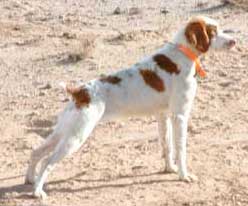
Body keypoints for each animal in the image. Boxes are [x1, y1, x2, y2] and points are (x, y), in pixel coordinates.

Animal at [25, 16, 236, 198]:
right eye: (213, 31)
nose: (234, 41)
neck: (182, 54)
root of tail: (79, 92)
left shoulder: (164, 115)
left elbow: (166, 146)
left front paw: (170, 169)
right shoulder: (180, 116)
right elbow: (181, 149)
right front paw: (184, 176)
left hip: (64, 132)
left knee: (36, 152)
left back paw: (30, 180)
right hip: (76, 136)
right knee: (47, 162)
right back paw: (38, 192)